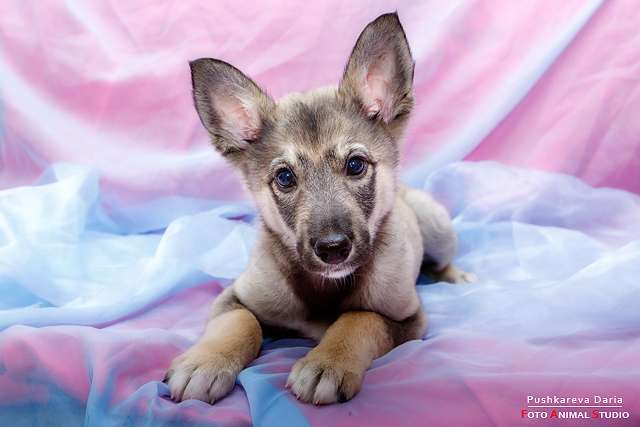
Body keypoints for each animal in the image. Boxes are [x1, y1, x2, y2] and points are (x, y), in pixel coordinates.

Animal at [168, 12, 472, 408]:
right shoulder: (233, 297)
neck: (325, 286)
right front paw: (205, 361)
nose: (333, 249)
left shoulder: (407, 318)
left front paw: (327, 362)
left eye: (356, 165)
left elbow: (359, 319)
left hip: (436, 225)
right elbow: (239, 323)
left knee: (441, 261)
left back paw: (456, 276)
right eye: (284, 177)